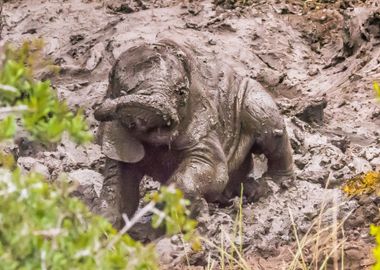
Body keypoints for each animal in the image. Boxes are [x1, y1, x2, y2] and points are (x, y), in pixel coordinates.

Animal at [94, 38, 294, 228]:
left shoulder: (203, 122)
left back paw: (274, 186)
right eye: (122, 92)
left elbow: (210, 167)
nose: (103, 108)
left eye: (181, 93)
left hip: (251, 96)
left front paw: (177, 211)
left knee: (269, 130)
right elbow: (118, 185)